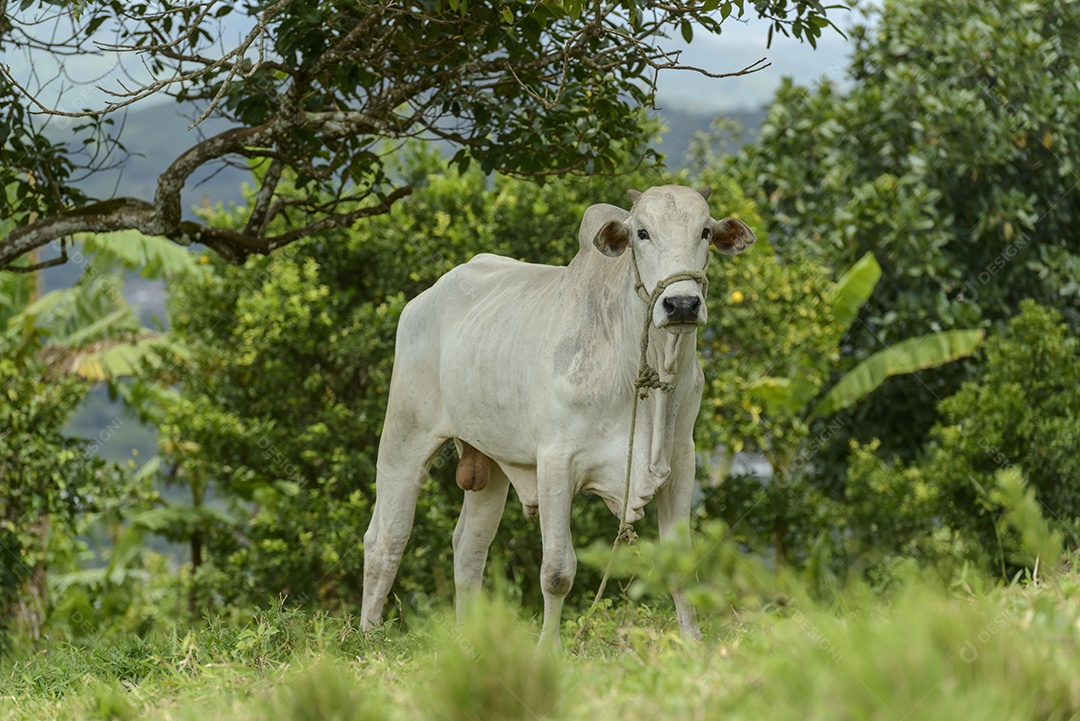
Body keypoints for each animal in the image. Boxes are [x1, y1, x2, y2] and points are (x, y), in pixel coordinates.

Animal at [358, 183, 756, 643]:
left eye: (705, 231)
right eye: (641, 232)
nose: (682, 304)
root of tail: (424, 299)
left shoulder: (680, 459)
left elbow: (682, 564)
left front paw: (692, 642)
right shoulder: (555, 461)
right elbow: (557, 571)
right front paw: (548, 647)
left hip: (489, 461)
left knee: (470, 545)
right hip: (405, 435)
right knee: (386, 538)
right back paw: (366, 635)